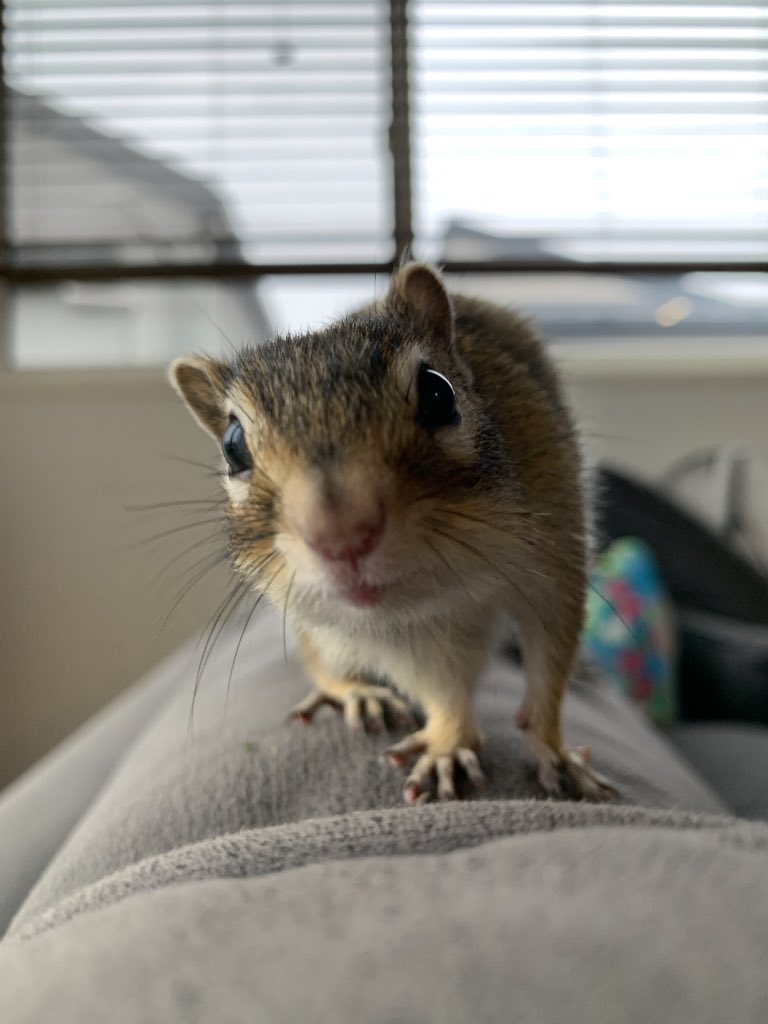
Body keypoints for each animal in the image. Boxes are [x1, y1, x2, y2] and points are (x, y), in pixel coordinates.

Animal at [170, 263, 617, 804]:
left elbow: (551, 657)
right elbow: (440, 685)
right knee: (323, 661)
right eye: (233, 446)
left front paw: (553, 749)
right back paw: (356, 693)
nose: (340, 534)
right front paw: (449, 742)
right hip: (320, 628)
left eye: (439, 392)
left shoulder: (556, 555)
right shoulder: (403, 634)